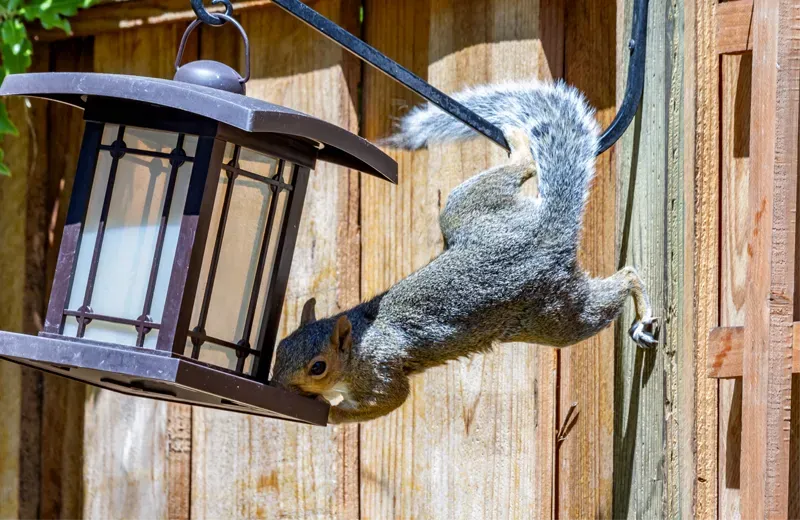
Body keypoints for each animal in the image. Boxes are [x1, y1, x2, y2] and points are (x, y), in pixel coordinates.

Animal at [271, 80, 659, 424]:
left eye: (317, 367)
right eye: (280, 348)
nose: (276, 385)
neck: (358, 345)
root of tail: (545, 232)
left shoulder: (380, 371)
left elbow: (389, 400)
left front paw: (330, 410)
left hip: (557, 315)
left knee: (621, 281)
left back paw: (642, 314)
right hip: (467, 208)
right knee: (522, 169)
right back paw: (519, 145)